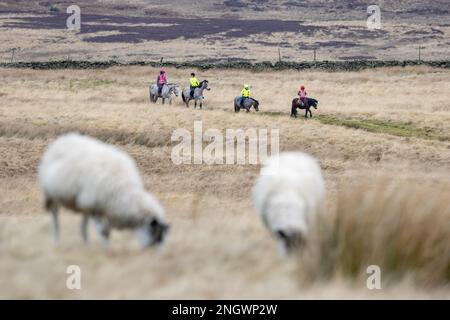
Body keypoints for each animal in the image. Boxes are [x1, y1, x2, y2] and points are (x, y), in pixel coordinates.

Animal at [37, 132, 169, 248]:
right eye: (156, 234)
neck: (124, 193)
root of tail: (64, 138)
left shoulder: (98, 208)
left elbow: (104, 230)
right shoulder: (94, 208)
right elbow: (104, 231)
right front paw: (106, 249)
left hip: (82, 203)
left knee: (82, 225)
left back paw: (86, 244)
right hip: (51, 195)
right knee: (55, 217)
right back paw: (56, 240)